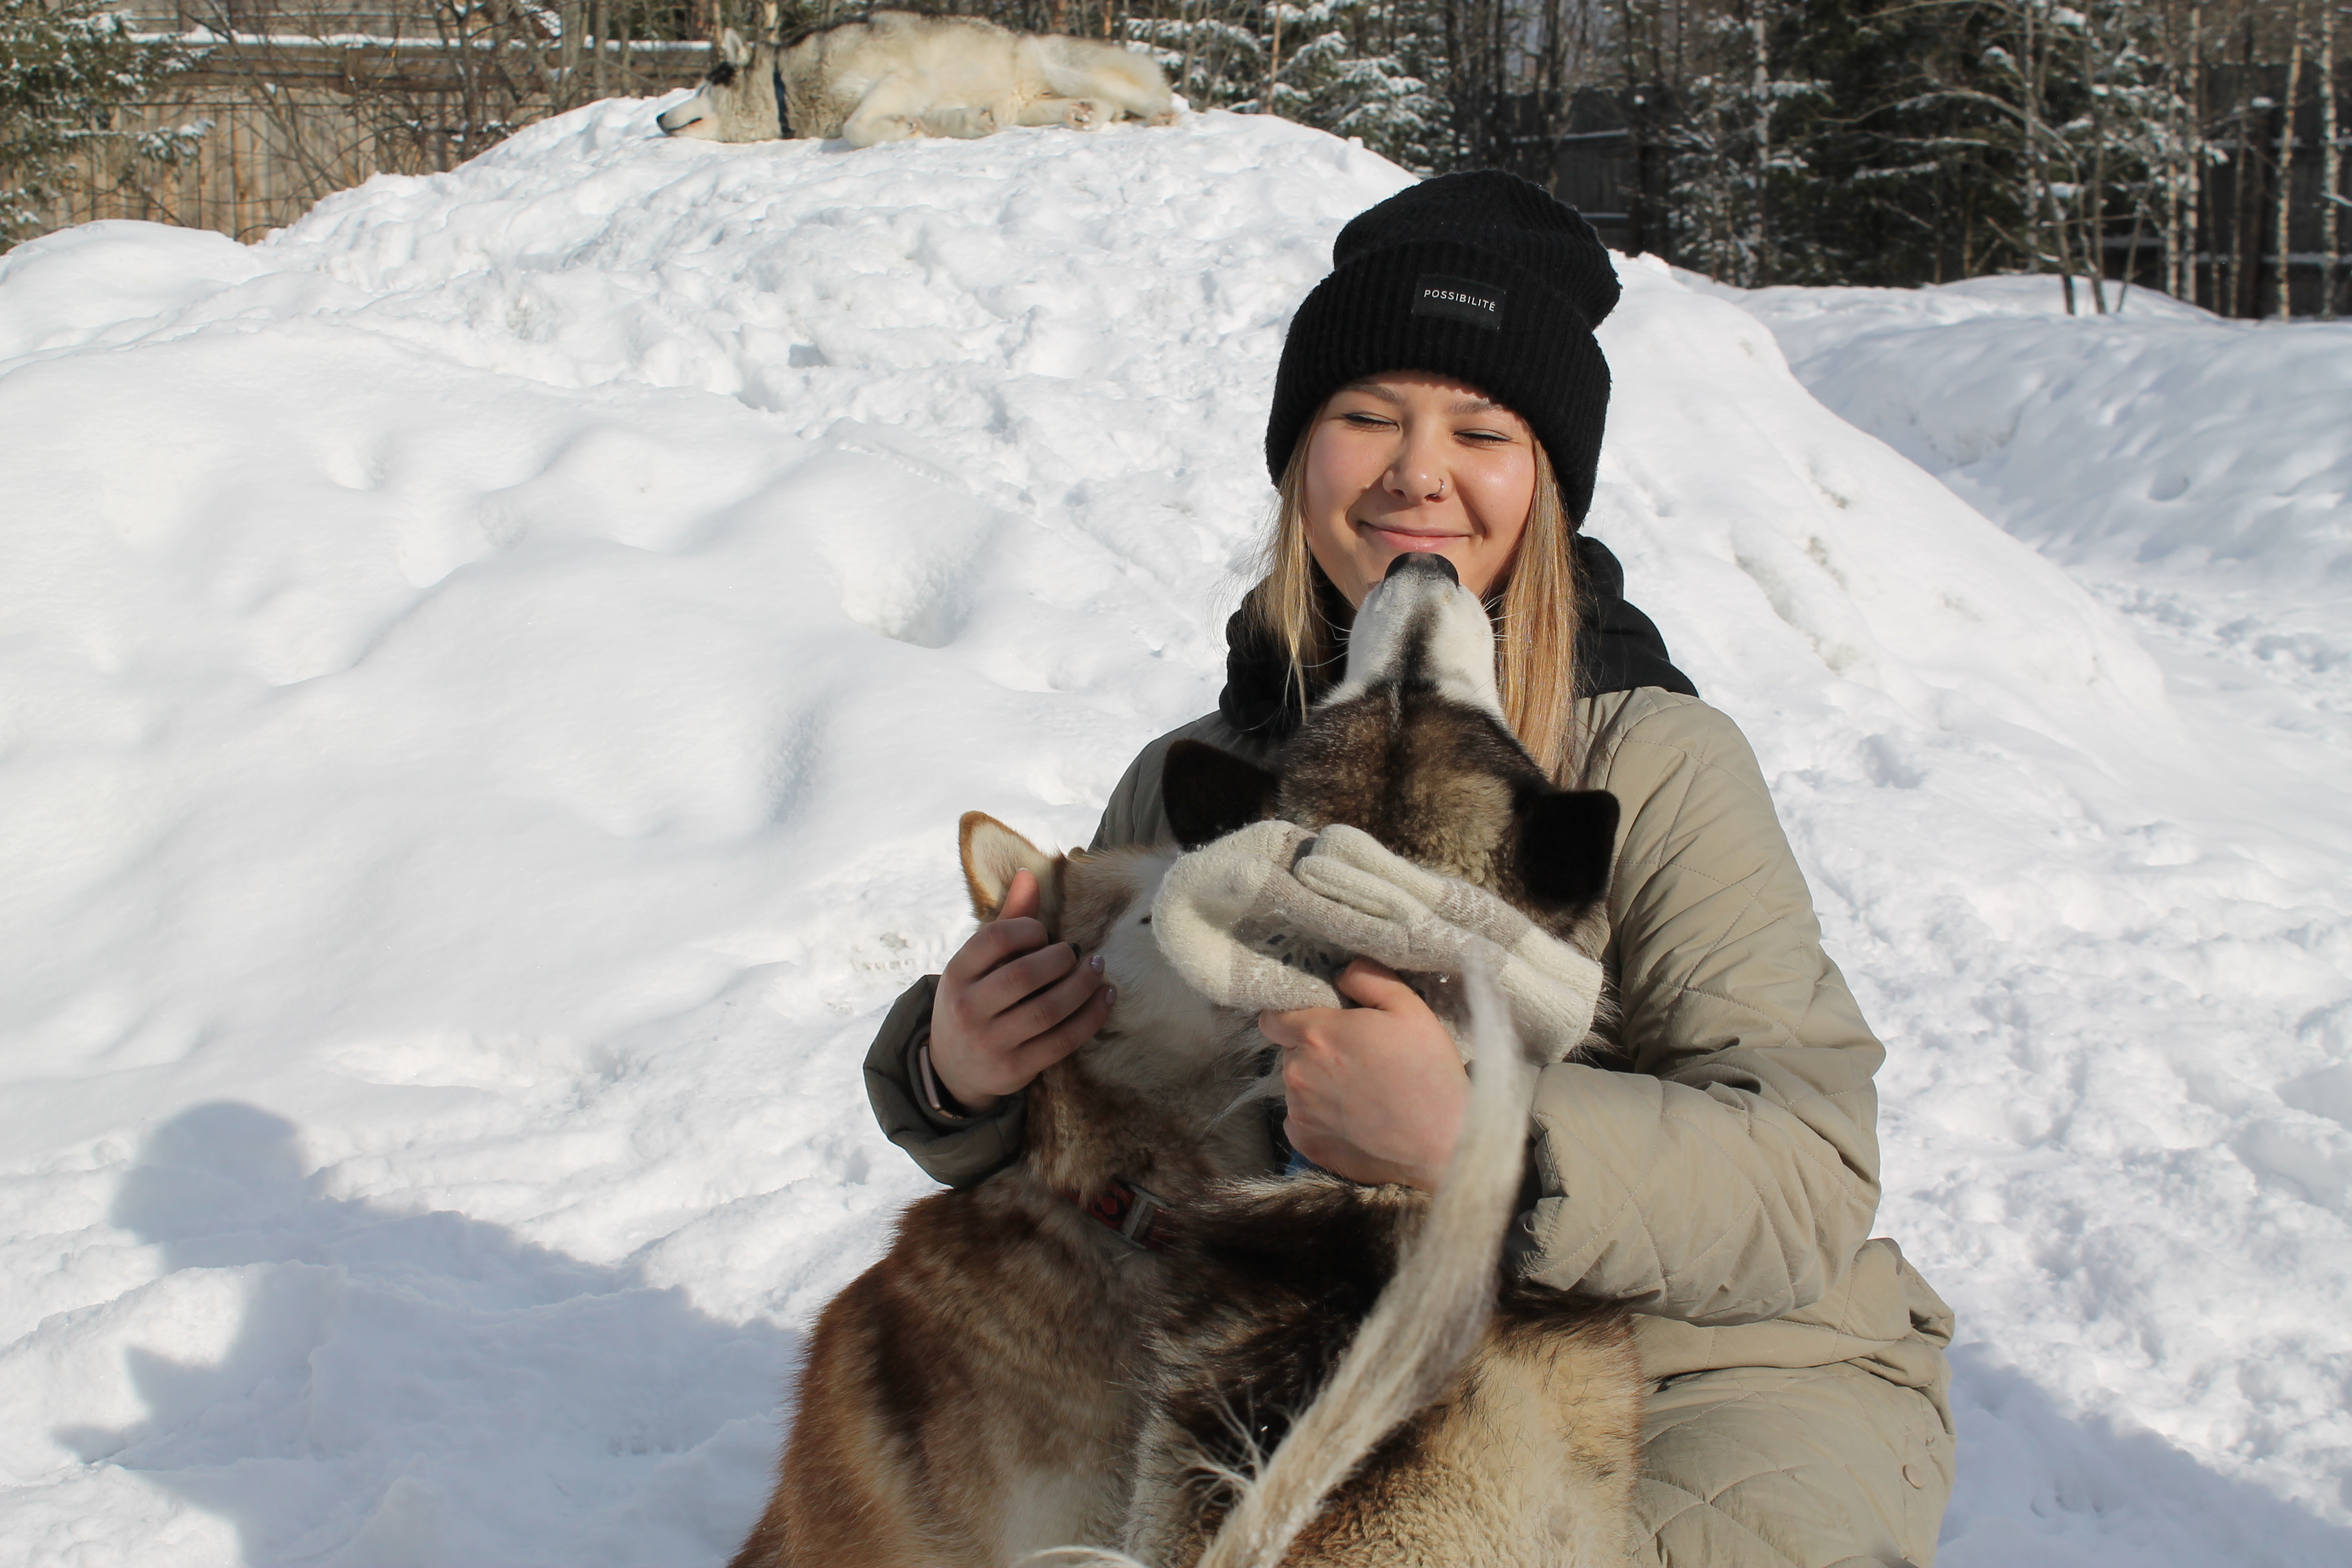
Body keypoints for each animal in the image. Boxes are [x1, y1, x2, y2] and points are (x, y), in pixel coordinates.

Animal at [654, 11, 1176, 149]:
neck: (789, 88)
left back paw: (1162, 114)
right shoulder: (923, 97)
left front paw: (899, 130)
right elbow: (945, 119)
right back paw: (1083, 113)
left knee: (1149, 98)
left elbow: (855, 127)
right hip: (1032, 105)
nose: (658, 117)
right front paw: (962, 123)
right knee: (1098, 108)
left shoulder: (904, 81)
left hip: (1057, 65)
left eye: (700, 88)